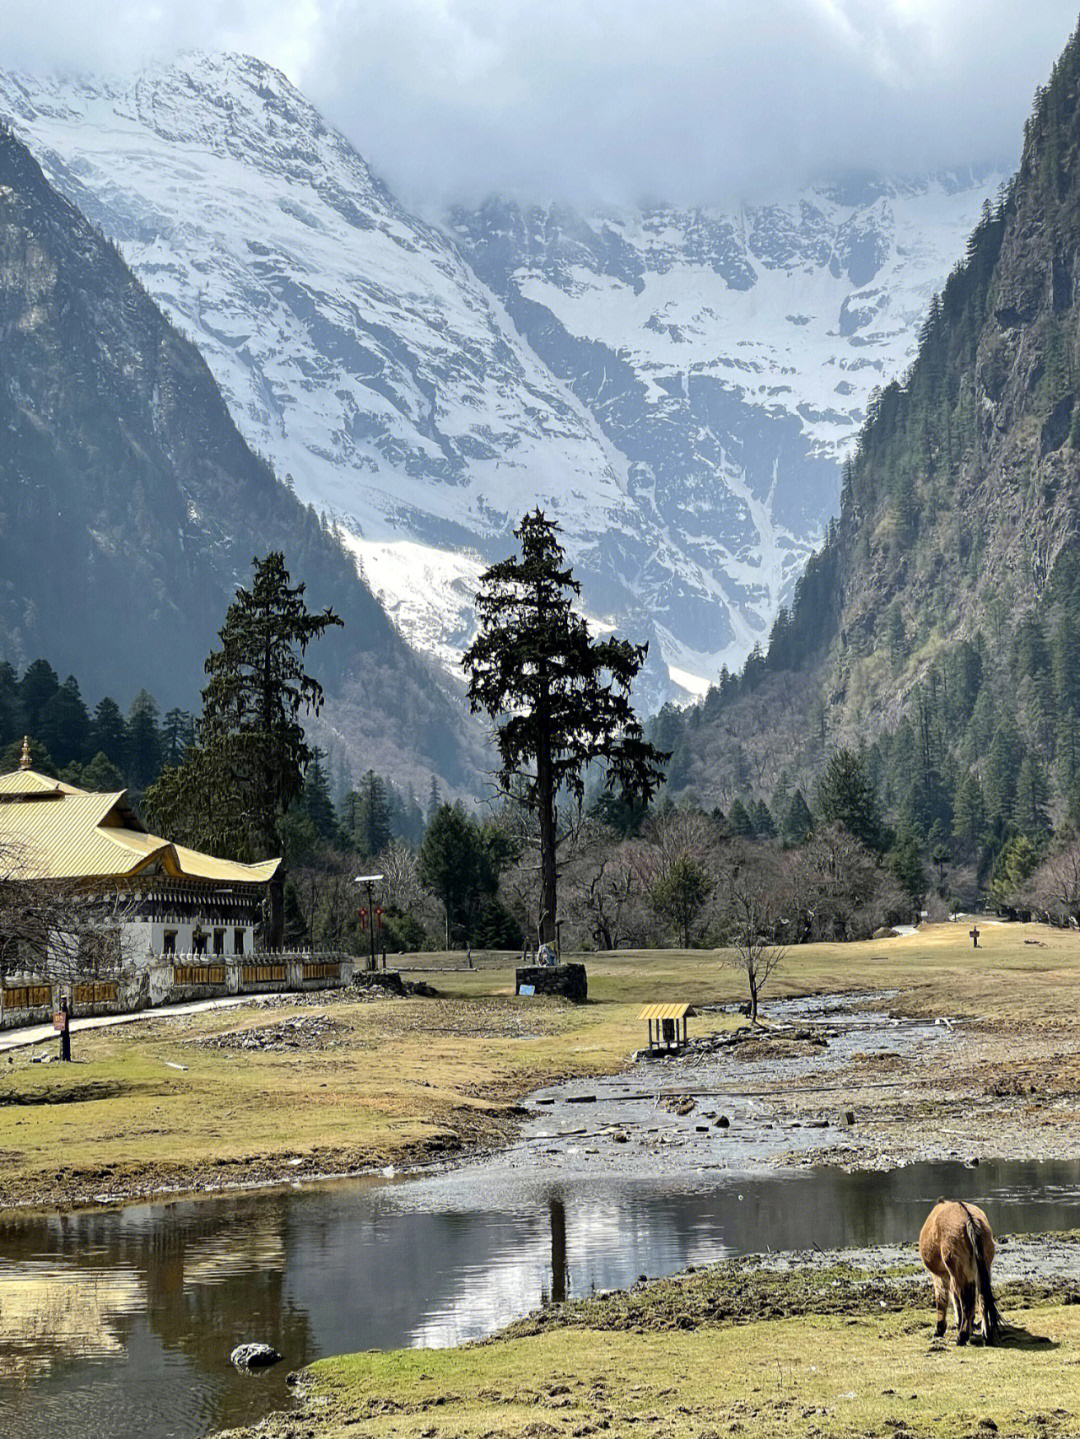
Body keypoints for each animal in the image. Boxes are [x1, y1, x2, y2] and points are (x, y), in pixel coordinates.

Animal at [920, 1197, 1006, 1341]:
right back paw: (986, 1333)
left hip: (957, 1271)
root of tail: (969, 1218)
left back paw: (962, 1336)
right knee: (982, 1297)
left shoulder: (940, 1275)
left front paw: (940, 1329)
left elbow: (943, 1299)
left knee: (966, 1300)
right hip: (983, 1269)